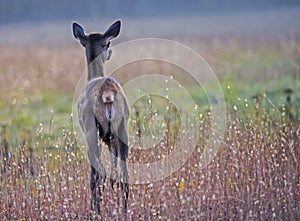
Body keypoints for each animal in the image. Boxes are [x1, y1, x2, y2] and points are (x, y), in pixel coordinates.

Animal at [73, 20, 130, 214]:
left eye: (107, 43)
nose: (110, 52)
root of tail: (107, 94)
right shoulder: (110, 138)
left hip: (91, 128)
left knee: (96, 174)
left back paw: (95, 211)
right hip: (122, 125)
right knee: (125, 176)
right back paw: (124, 210)